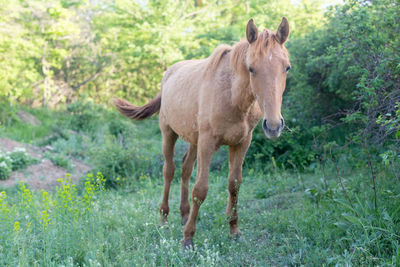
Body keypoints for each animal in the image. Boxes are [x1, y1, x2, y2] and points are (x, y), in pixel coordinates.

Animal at [114, 18, 292, 249]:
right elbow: (200, 189)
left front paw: (234, 230)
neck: (232, 96)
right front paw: (188, 238)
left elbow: (234, 184)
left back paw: (184, 214)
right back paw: (164, 219)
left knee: (185, 169)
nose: (273, 125)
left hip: (193, 140)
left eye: (287, 67)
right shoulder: (208, 143)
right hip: (168, 133)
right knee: (169, 171)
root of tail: (168, 74)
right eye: (251, 69)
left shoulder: (242, 143)